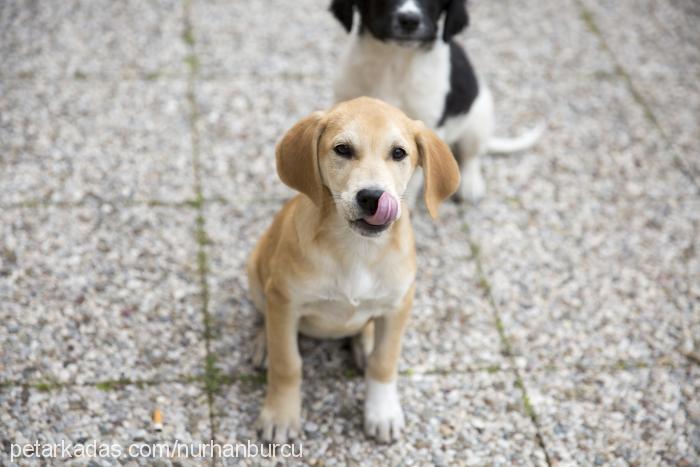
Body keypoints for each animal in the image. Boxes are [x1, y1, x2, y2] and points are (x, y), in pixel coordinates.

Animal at [246, 96, 460, 442]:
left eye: (398, 153)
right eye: (342, 149)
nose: (372, 197)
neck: (356, 250)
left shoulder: (400, 303)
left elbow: (384, 362)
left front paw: (382, 412)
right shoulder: (284, 299)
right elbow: (287, 363)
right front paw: (280, 414)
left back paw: (365, 343)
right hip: (255, 272)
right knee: (266, 317)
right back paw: (264, 343)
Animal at [330, 0, 544, 204]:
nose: (409, 20)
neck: (395, 60)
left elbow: (415, 174)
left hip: (479, 115)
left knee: (471, 156)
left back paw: (471, 184)